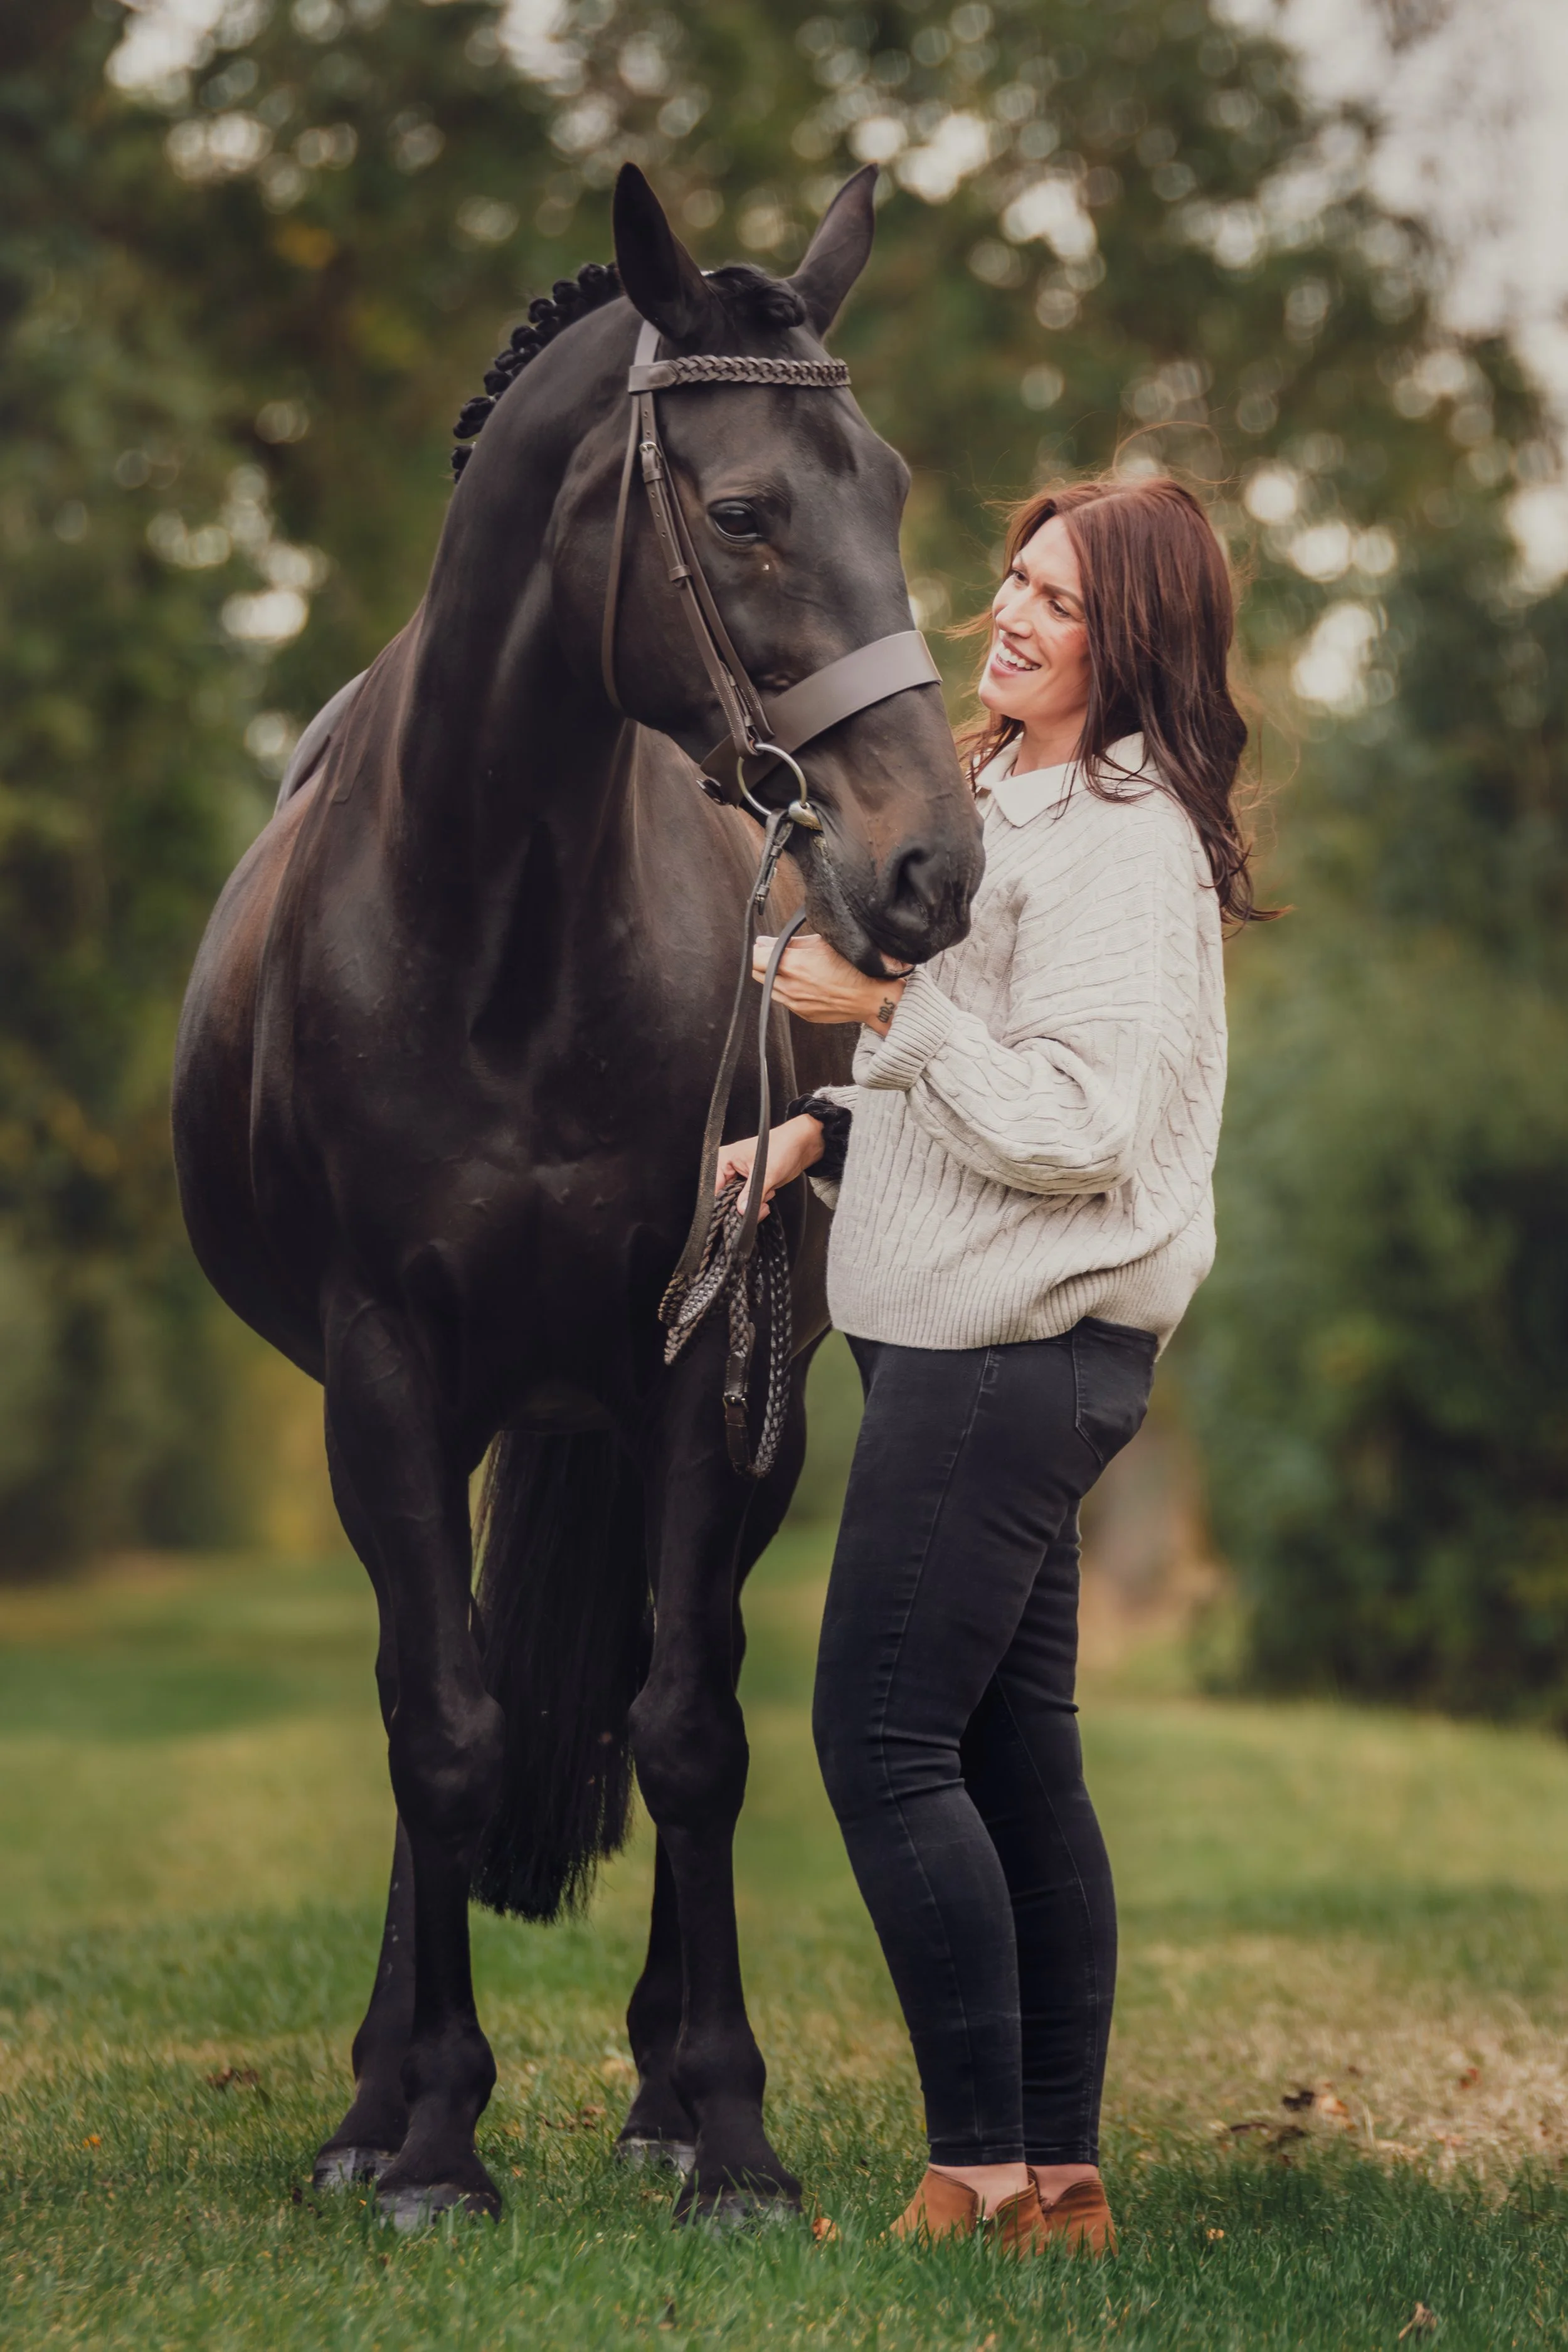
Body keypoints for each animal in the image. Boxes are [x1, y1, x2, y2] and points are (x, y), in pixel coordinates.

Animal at [171, 162, 982, 2230]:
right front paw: (432, 2136)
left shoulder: (695, 1367)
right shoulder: (384, 1372)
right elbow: (444, 1732)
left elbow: (687, 1727)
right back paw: (371, 2101)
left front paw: (729, 2130)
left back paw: (651, 2089)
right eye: (743, 511)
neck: (507, 924)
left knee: (641, 1672)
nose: (932, 865)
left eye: (893, 486)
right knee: (426, 1694)